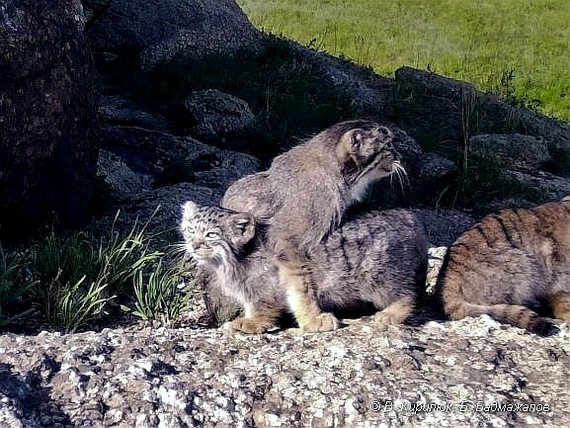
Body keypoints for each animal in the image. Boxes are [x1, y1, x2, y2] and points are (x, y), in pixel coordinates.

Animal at [180, 201, 424, 334]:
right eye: (190, 231)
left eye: (211, 234)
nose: (194, 245)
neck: (231, 260)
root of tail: (407, 216)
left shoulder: (267, 290)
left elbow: (271, 306)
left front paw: (252, 323)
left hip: (376, 276)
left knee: (408, 294)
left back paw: (392, 314)